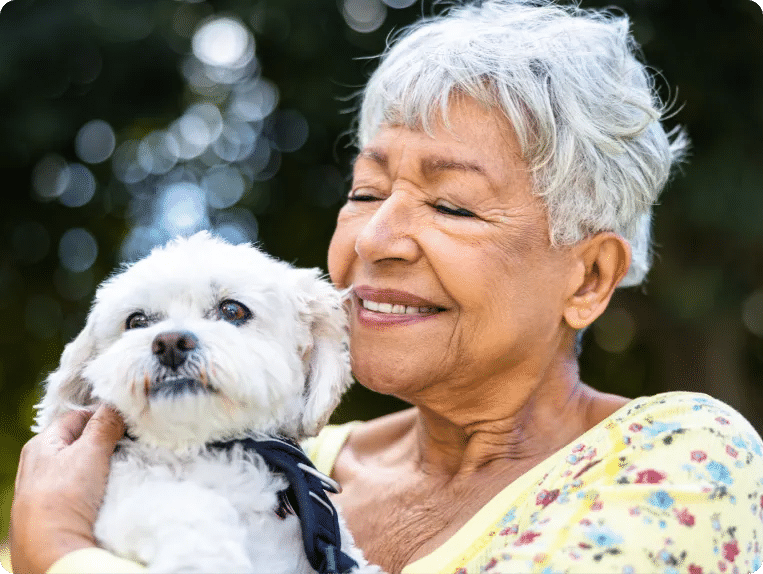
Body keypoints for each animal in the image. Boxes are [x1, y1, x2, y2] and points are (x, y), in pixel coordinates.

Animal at [35, 232, 380, 572]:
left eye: (232, 311)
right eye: (136, 321)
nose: (170, 343)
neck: (204, 448)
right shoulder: (121, 497)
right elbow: (182, 505)